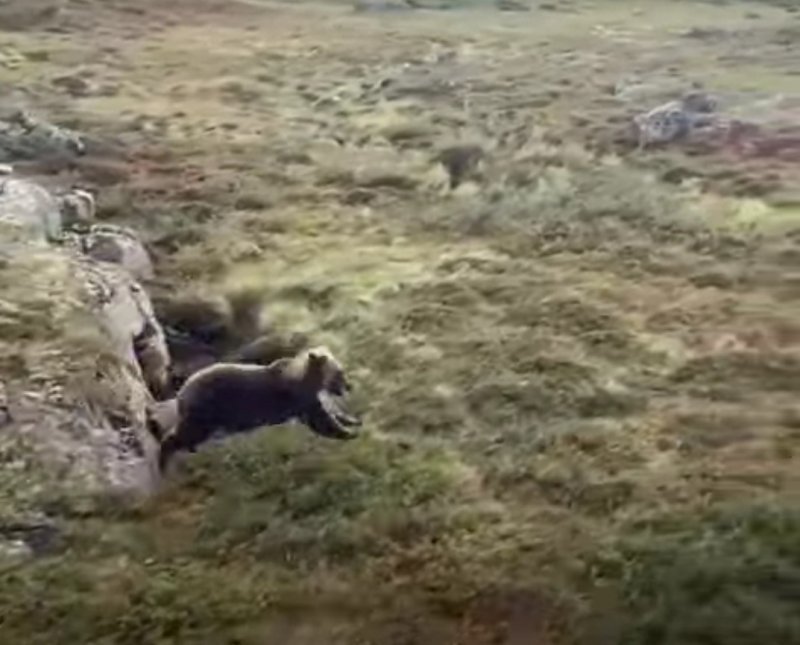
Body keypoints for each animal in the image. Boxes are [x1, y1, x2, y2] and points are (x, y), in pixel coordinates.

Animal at [158, 346, 360, 472]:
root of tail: (181, 391)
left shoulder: (313, 398)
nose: (349, 386)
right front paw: (348, 433)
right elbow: (321, 421)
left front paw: (352, 420)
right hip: (206, 409)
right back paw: (165, 461)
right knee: (184, 434)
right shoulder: (302, 400)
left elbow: (331, 411)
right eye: (339, 372)